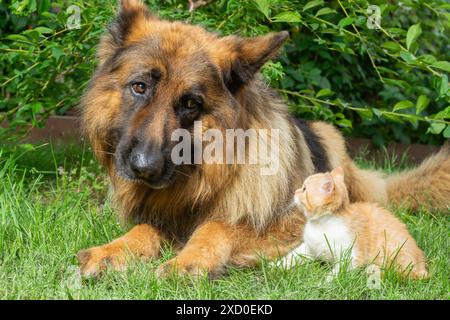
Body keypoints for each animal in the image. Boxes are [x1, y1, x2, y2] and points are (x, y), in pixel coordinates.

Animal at [278, 168, 428, 280]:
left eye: (304, 189)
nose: (295, 191)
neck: (321, 224)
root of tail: (421, 263)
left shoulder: (351, 256)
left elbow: (336, 273)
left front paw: (324, 283)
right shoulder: (309, 248)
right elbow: (291, 257)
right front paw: (276, 266)